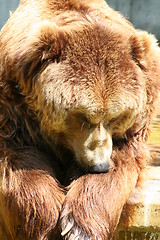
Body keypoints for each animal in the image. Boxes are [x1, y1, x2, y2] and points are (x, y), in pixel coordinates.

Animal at [0, 0, 160, 239]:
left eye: (116, 116)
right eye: (82, 116)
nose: (100, 164)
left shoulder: (133, 128)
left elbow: (122, 160)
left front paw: (79, 227)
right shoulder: (13, 108)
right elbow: (18, 159)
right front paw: (45, 222)